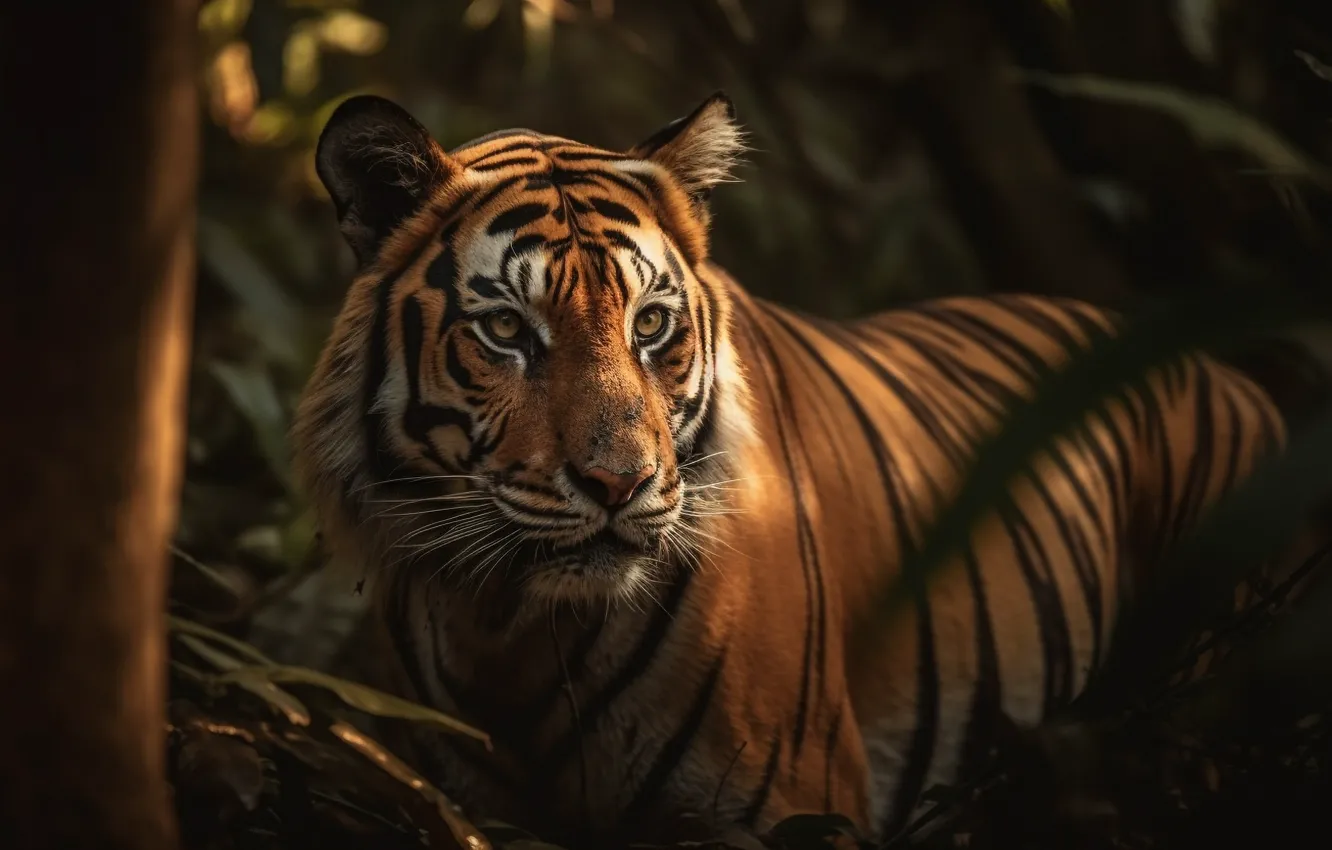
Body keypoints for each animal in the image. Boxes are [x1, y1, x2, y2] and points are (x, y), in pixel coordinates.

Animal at [290, 92, 1288, 845]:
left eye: (650, 325)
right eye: (505, 329)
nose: (619, 485)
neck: (514, 628)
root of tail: (1238, 375)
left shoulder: (786, 808)